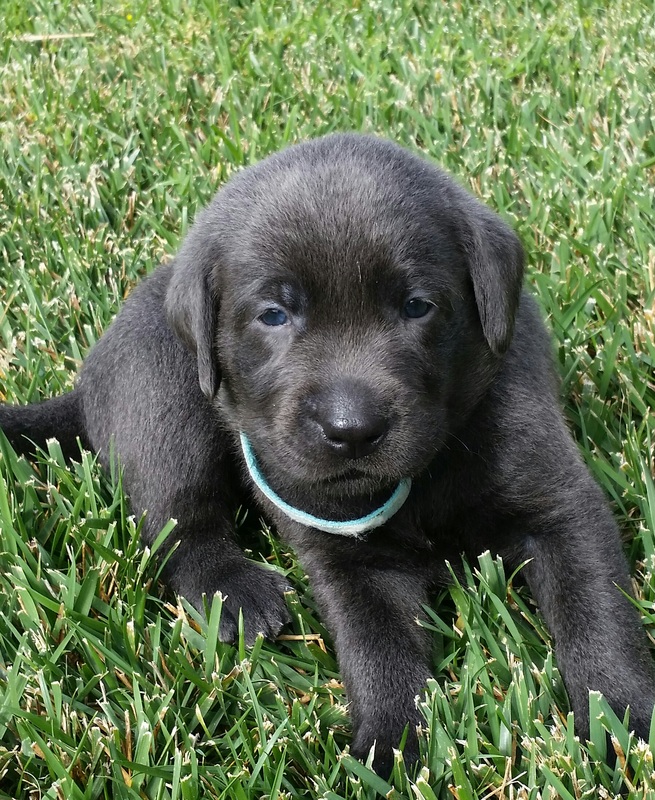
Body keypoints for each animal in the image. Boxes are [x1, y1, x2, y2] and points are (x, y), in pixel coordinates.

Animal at [1, 134, 655, 772]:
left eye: (418, 305)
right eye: (273, 314)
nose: (352, 429)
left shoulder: (558, 502)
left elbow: (598, 612)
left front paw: (625, 722)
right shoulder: (345, 558)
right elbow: (376, 647)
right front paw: (389, 746)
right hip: (163, 389)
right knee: (178, 521)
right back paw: (235, 590)